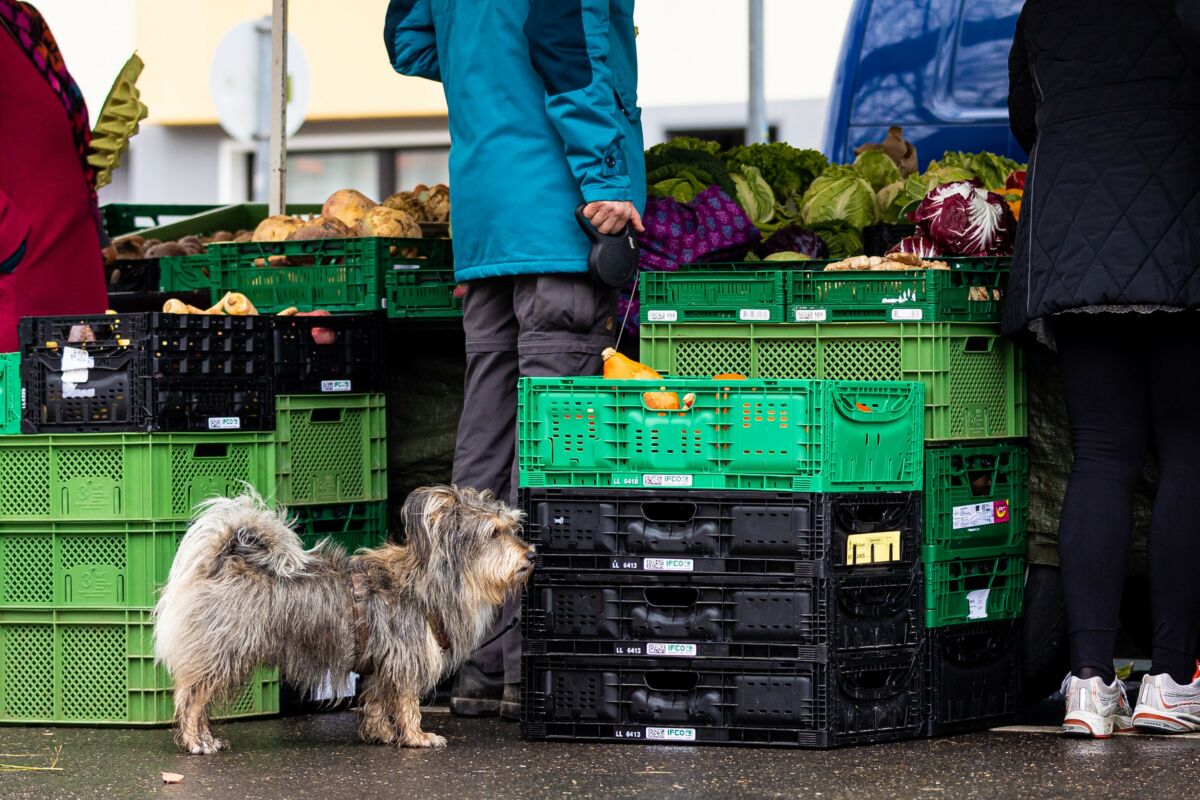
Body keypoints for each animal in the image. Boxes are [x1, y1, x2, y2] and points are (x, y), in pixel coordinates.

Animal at [152, 484, 532, 753]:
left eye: (513, 528)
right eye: (493, 533)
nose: (532, 555)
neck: (428, 581)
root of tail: (221, 561)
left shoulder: (381, 663)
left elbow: (377, 701)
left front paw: (380, 734)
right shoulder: (405, 660)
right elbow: (407, 703)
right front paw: (416, 736)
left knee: (197, 699)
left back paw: (206, 738)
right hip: (223, 654)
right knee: (190, 699)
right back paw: (194, 741)